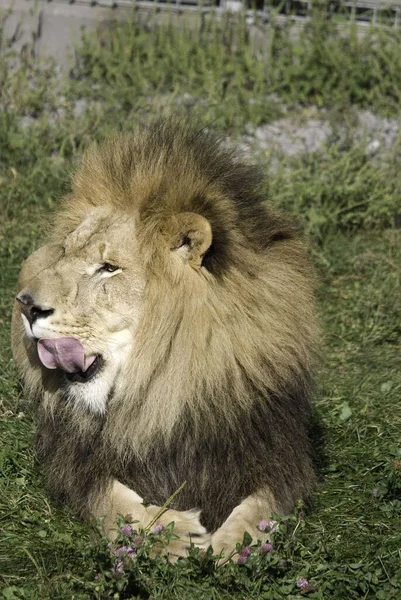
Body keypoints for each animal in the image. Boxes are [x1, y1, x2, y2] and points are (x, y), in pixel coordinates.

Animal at [10, 119, 318, 560]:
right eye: (65, 253)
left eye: (109, 268)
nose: (25, 305)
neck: (166, 386)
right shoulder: (74, 459)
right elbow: (113, 500)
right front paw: (171, 534)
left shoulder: (278, 450)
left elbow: (263, 503)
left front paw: (234, 545)